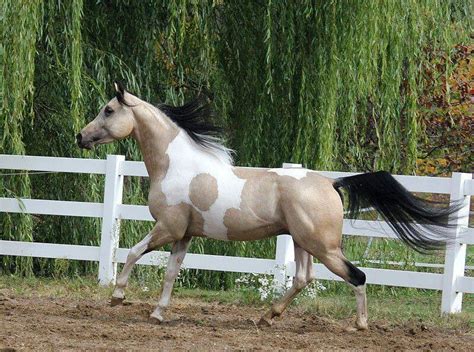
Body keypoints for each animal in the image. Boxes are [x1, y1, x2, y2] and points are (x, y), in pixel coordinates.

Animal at [77, 82, 460, 330]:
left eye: (108, 110)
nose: (81, 136)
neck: (177, 165)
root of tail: (332, 183)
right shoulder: (184, 234)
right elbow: (172, 272)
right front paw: (158, 314)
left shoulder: (167, 228)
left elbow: (131, 251)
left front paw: (117, 296)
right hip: (303, 243)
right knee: (304, 278)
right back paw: (267, 316)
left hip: (324, 246)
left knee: (357, 276)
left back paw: (361, 325)